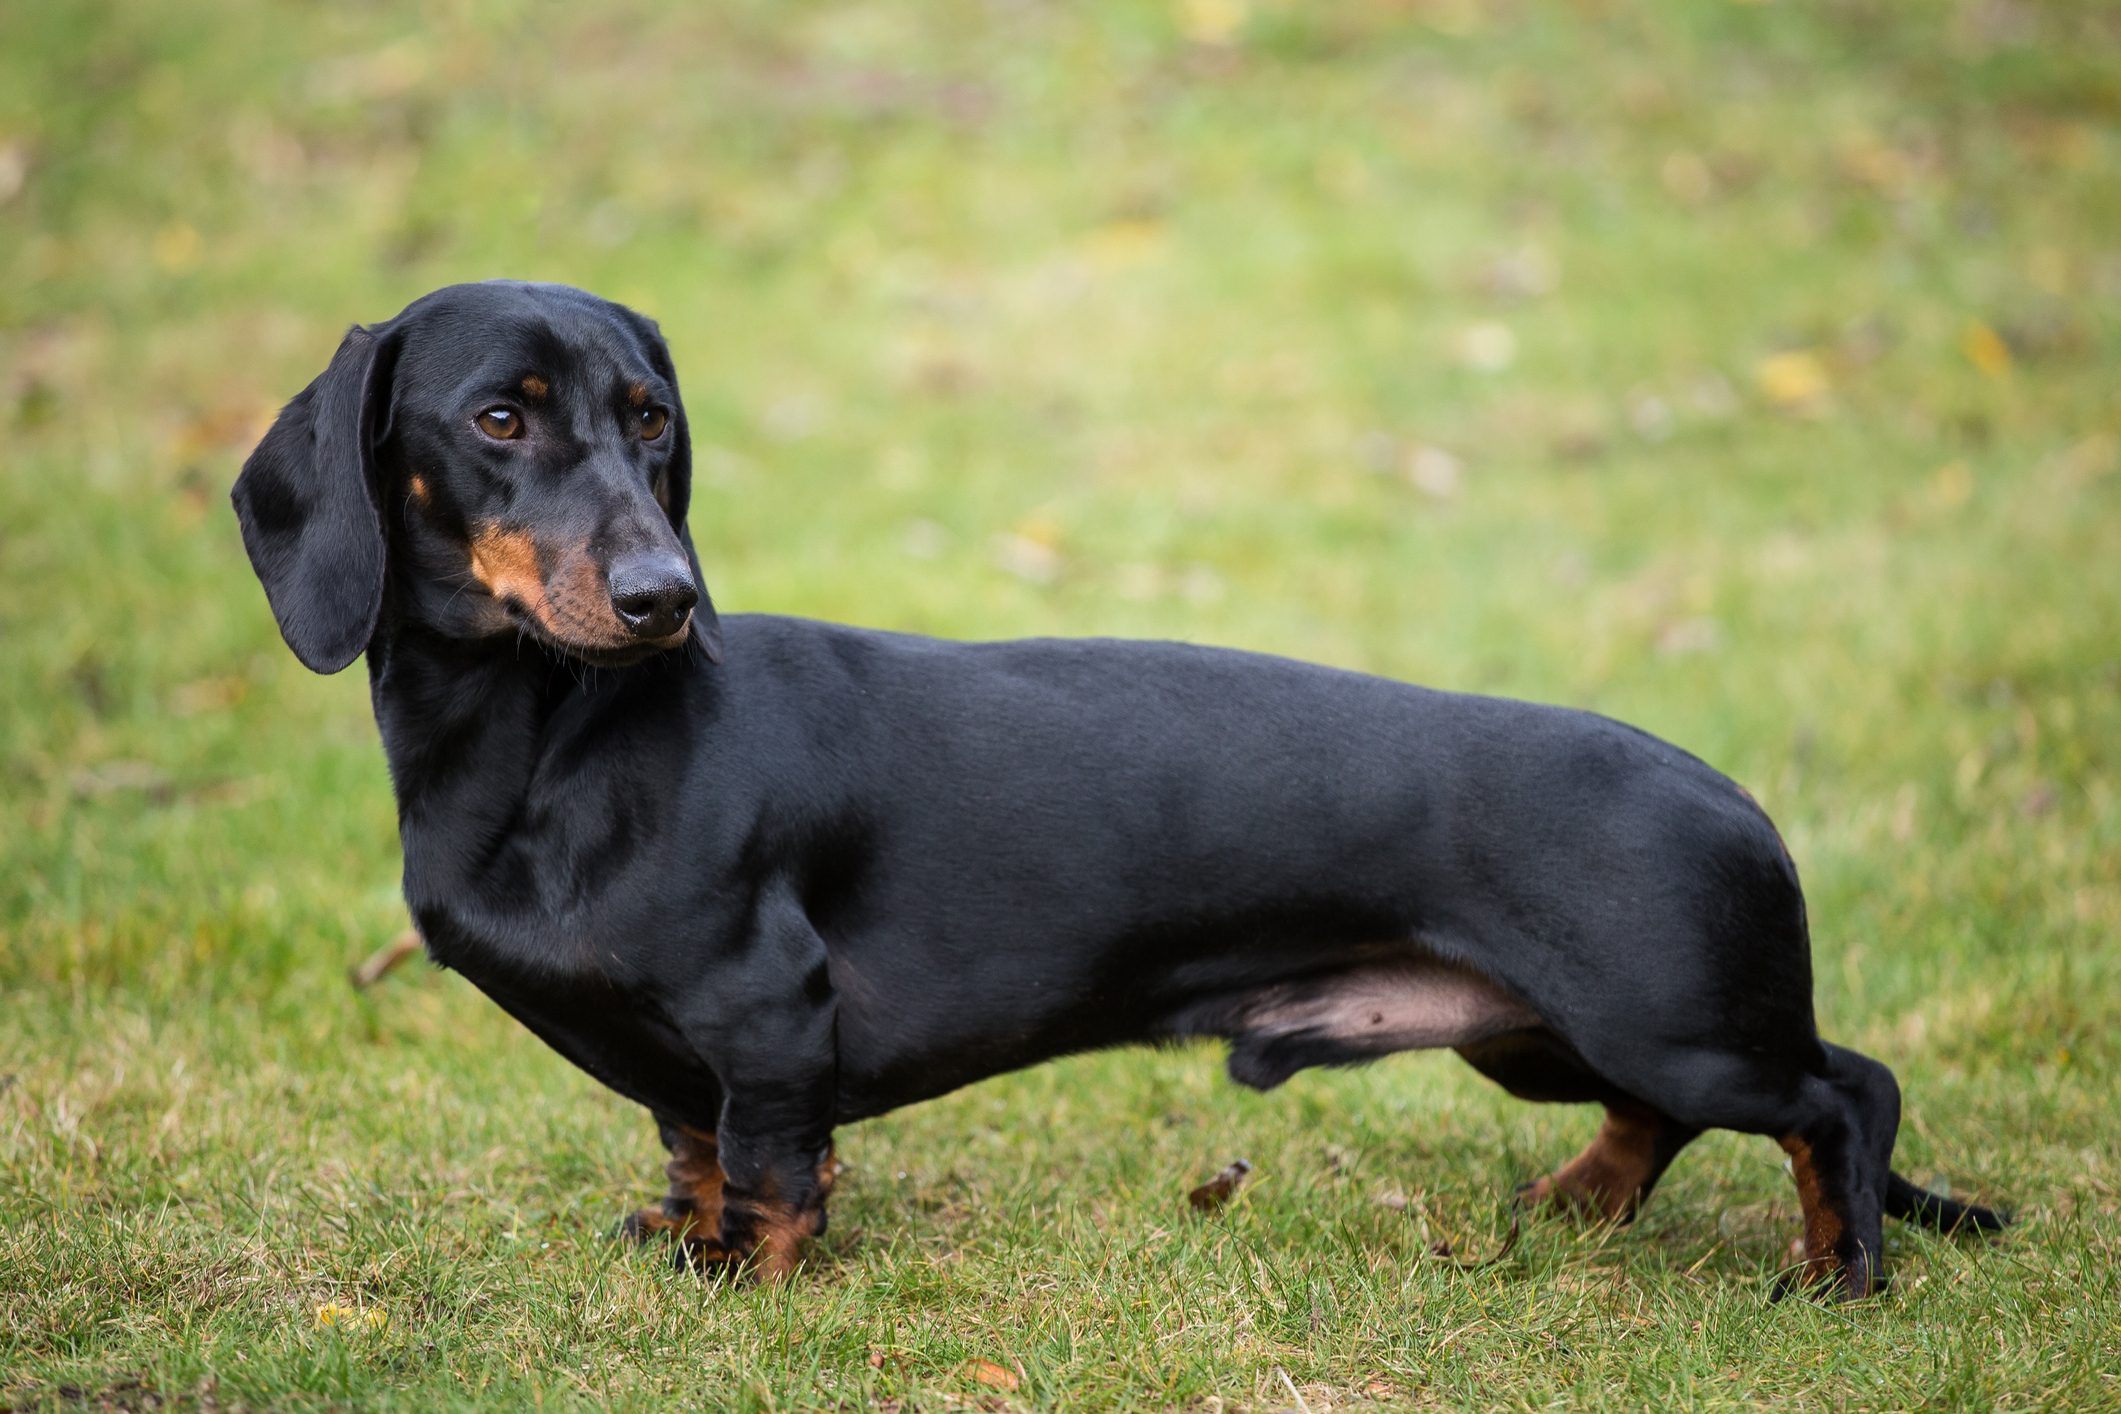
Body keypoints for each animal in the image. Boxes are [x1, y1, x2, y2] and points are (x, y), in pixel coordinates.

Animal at [232, 281, 2002, 1297]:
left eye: (651, 420)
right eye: (499, 415)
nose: (665, 596)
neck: (555, 739)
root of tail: (1732, 791)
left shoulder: (764, 1006)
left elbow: (777, 1158)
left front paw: (758, 1273)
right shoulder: (682, 1051)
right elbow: (691, 1137)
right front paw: (687, 1231)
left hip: (1670, 1020)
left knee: (1845, 1095)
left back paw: (1839, 1270)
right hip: (1542, 1038)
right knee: (1673, 1118)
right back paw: (1581, 1202)